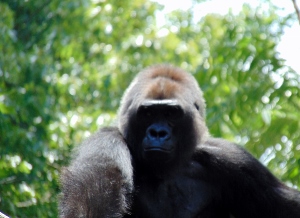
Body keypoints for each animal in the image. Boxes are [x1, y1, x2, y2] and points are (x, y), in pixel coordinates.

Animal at [59, 65, 300, 218]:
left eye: (171, 113)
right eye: (148, 113)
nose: (158, 133)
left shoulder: (235, 160)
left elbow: (286, 207)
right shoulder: (106, 142)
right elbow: (91, 205)